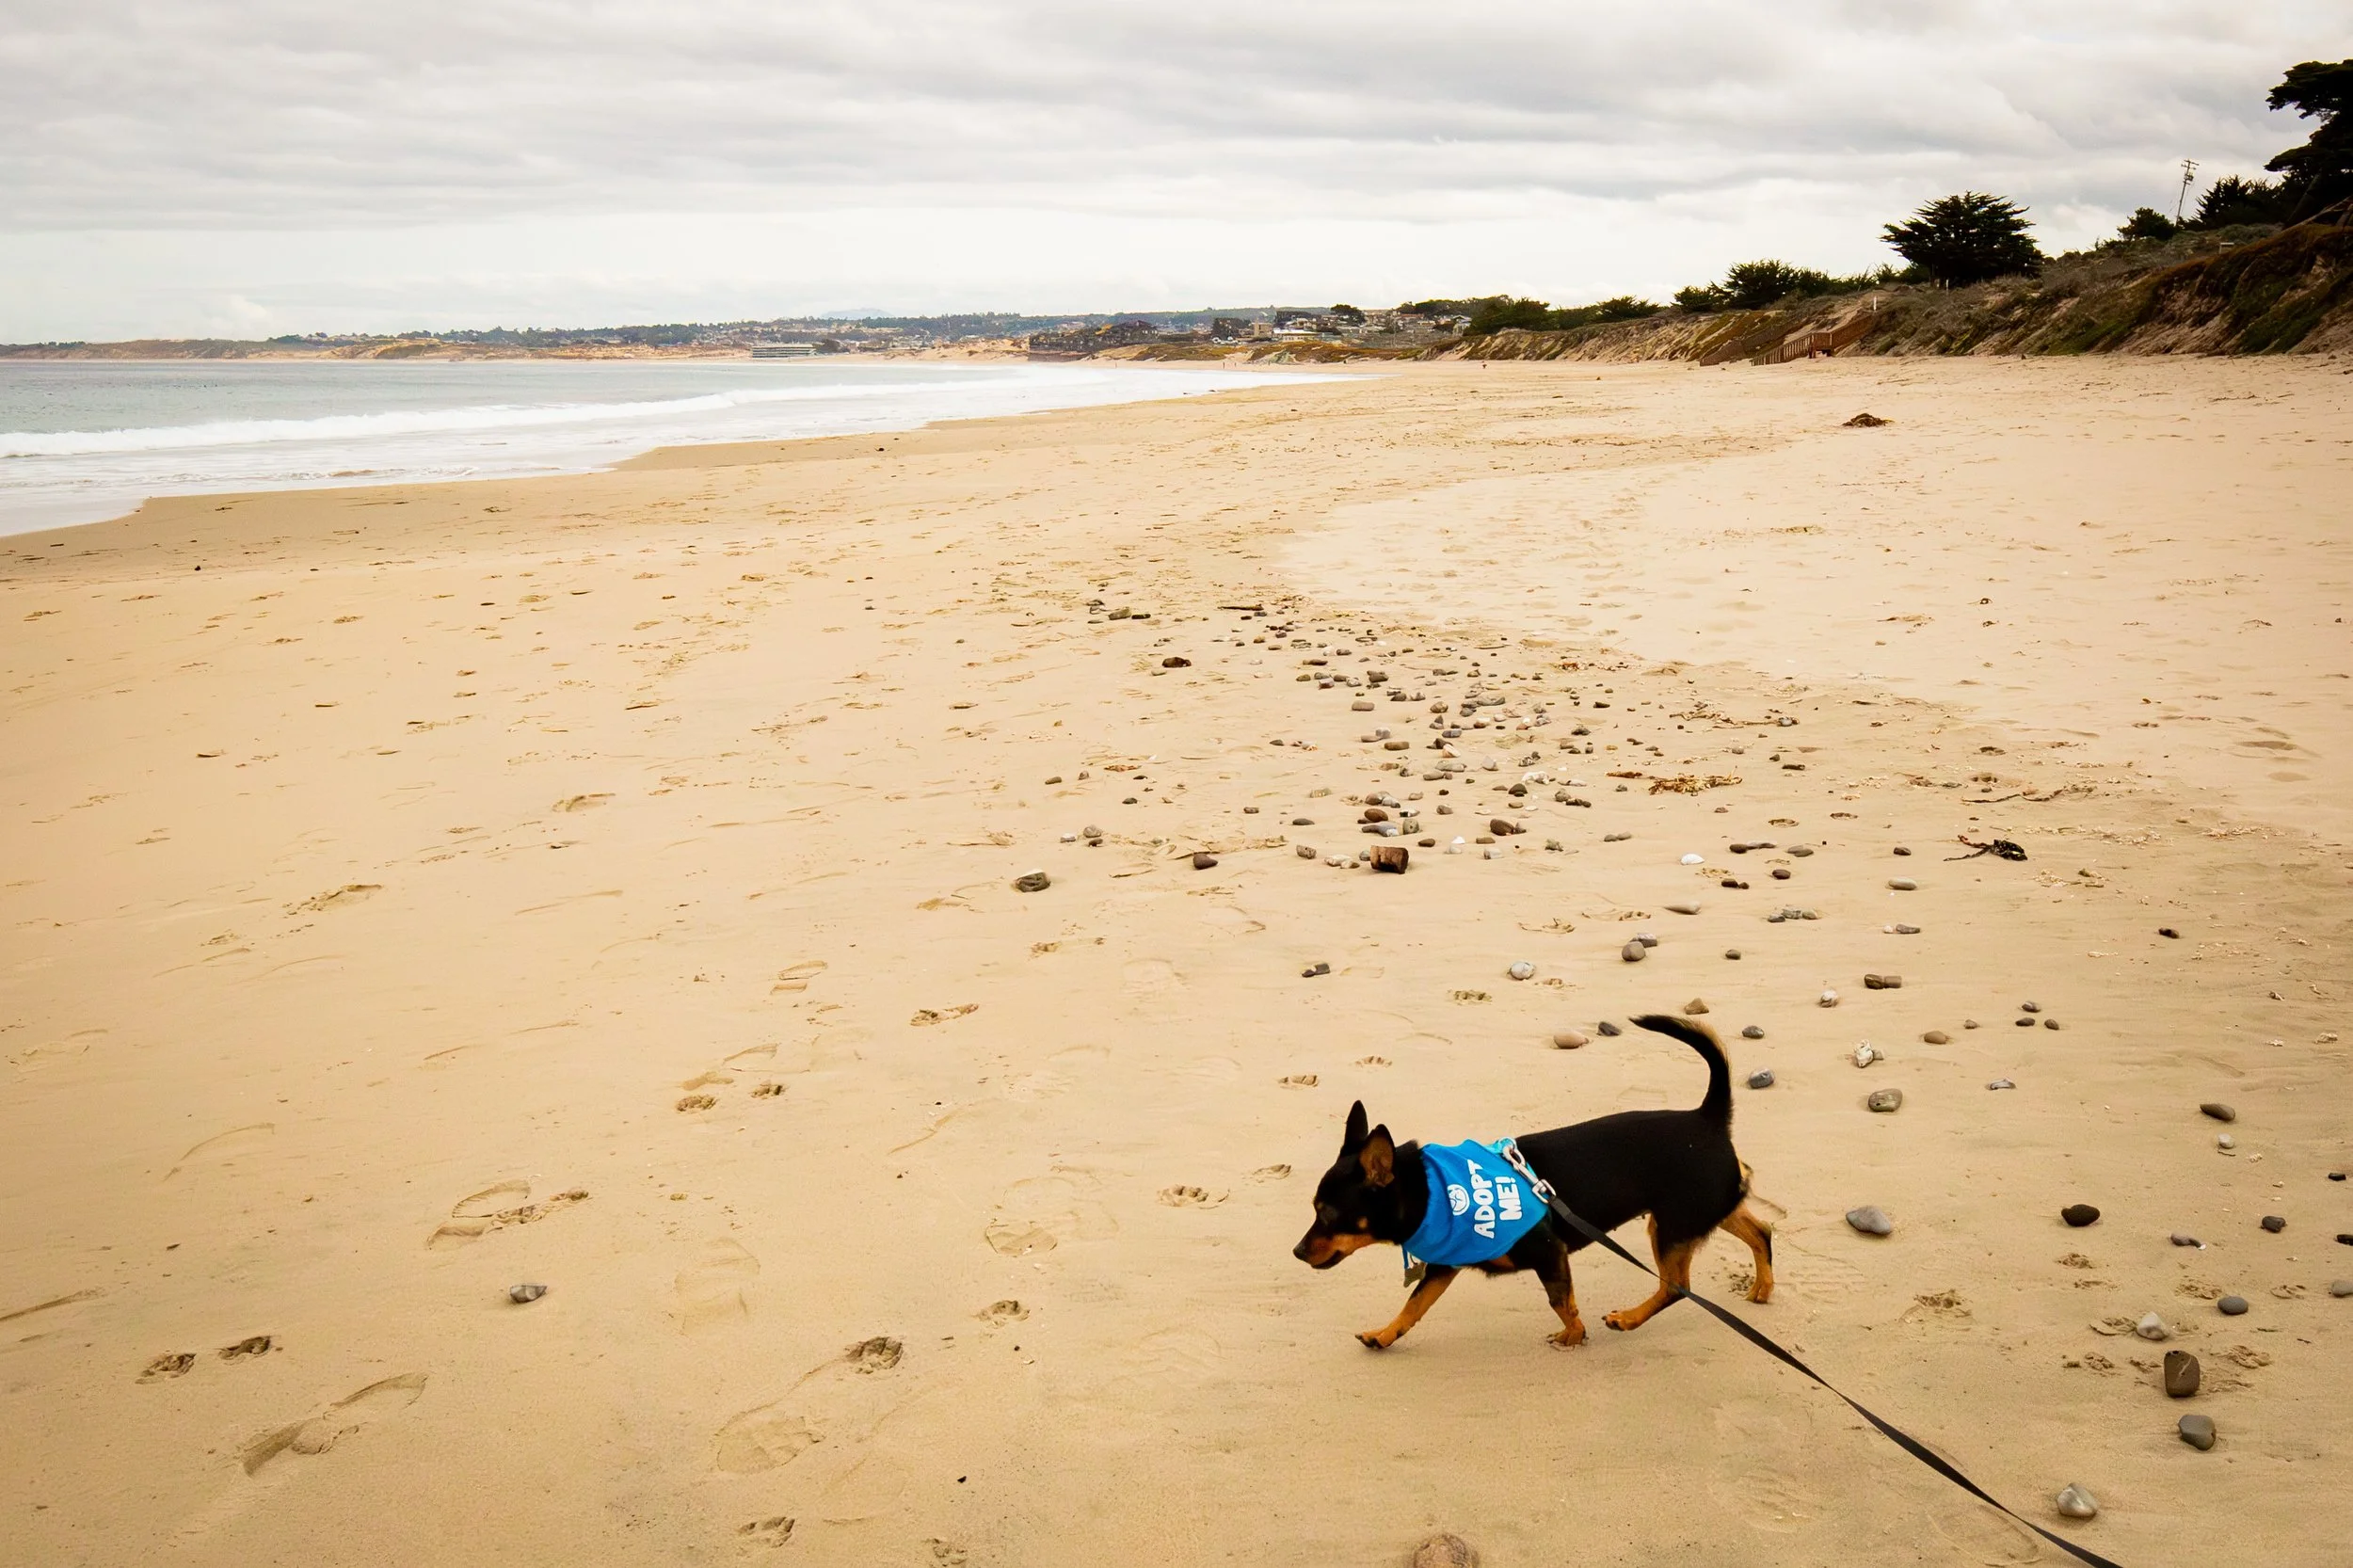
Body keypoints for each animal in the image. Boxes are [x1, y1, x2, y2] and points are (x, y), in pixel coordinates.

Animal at [1291, 1014, 1773, 1350]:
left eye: (1327, 1214)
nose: (1296, 1252)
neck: (1434, 1192)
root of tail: (1707, 1117)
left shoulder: (1548, 1253)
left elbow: (1561, 1302)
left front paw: (1572, 1337)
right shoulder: (1444, 1266)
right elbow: (1413, 1306)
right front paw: (1385, 1334)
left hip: (1673, 1226)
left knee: (1676, 1287)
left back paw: (1629, 1318)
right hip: (1700, 1212)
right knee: (1761, 1230)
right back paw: (1763, 1287)